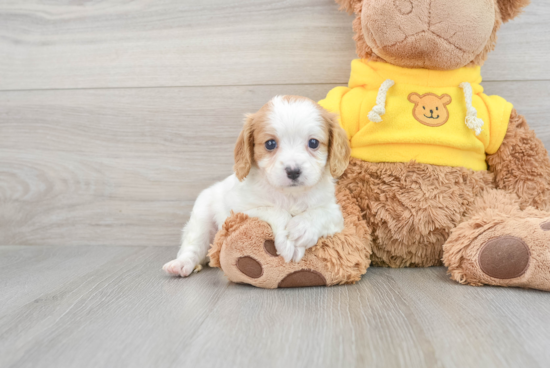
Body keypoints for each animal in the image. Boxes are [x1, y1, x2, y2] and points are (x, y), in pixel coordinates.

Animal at [164, 96, 352, 278]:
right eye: (270, 144)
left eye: (313, 143)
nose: (293, 171)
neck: (290, 195)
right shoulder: (239, 209)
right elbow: (275, 210)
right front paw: (287, 239)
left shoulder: (333, 211)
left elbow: (321, 213)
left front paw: (303, 228)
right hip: (202, 218)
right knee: (193, 246)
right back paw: (180, 264)